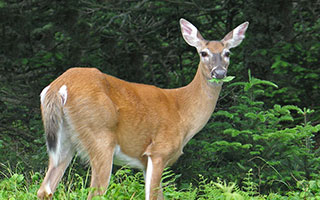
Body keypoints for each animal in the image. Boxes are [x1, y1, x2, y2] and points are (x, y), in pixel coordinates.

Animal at [37, 18, 248, 199]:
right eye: (203, 53)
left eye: (227, 53)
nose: (219, 72)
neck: (182, 112)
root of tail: (59, 87)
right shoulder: (158, 151)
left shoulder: (146, 162)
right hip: (100, 136)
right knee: (94, 193)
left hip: (64, 141)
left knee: (44, 189)